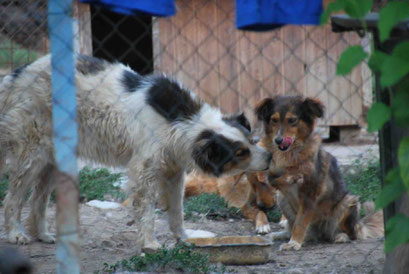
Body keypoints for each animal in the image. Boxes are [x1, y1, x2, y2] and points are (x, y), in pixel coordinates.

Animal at [255, 94, 382, 250]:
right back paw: (280, 235)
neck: (289, 154)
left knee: (353, 234)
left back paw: (341, 236)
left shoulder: (310, 194)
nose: (278, 140)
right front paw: (292, 176)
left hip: (347, 203)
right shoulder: (271, 175)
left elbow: (300, 222)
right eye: (274, 120)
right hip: (282, 199)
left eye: (292, 120)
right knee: (295, 228)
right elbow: (275, 178)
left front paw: (294, 243)